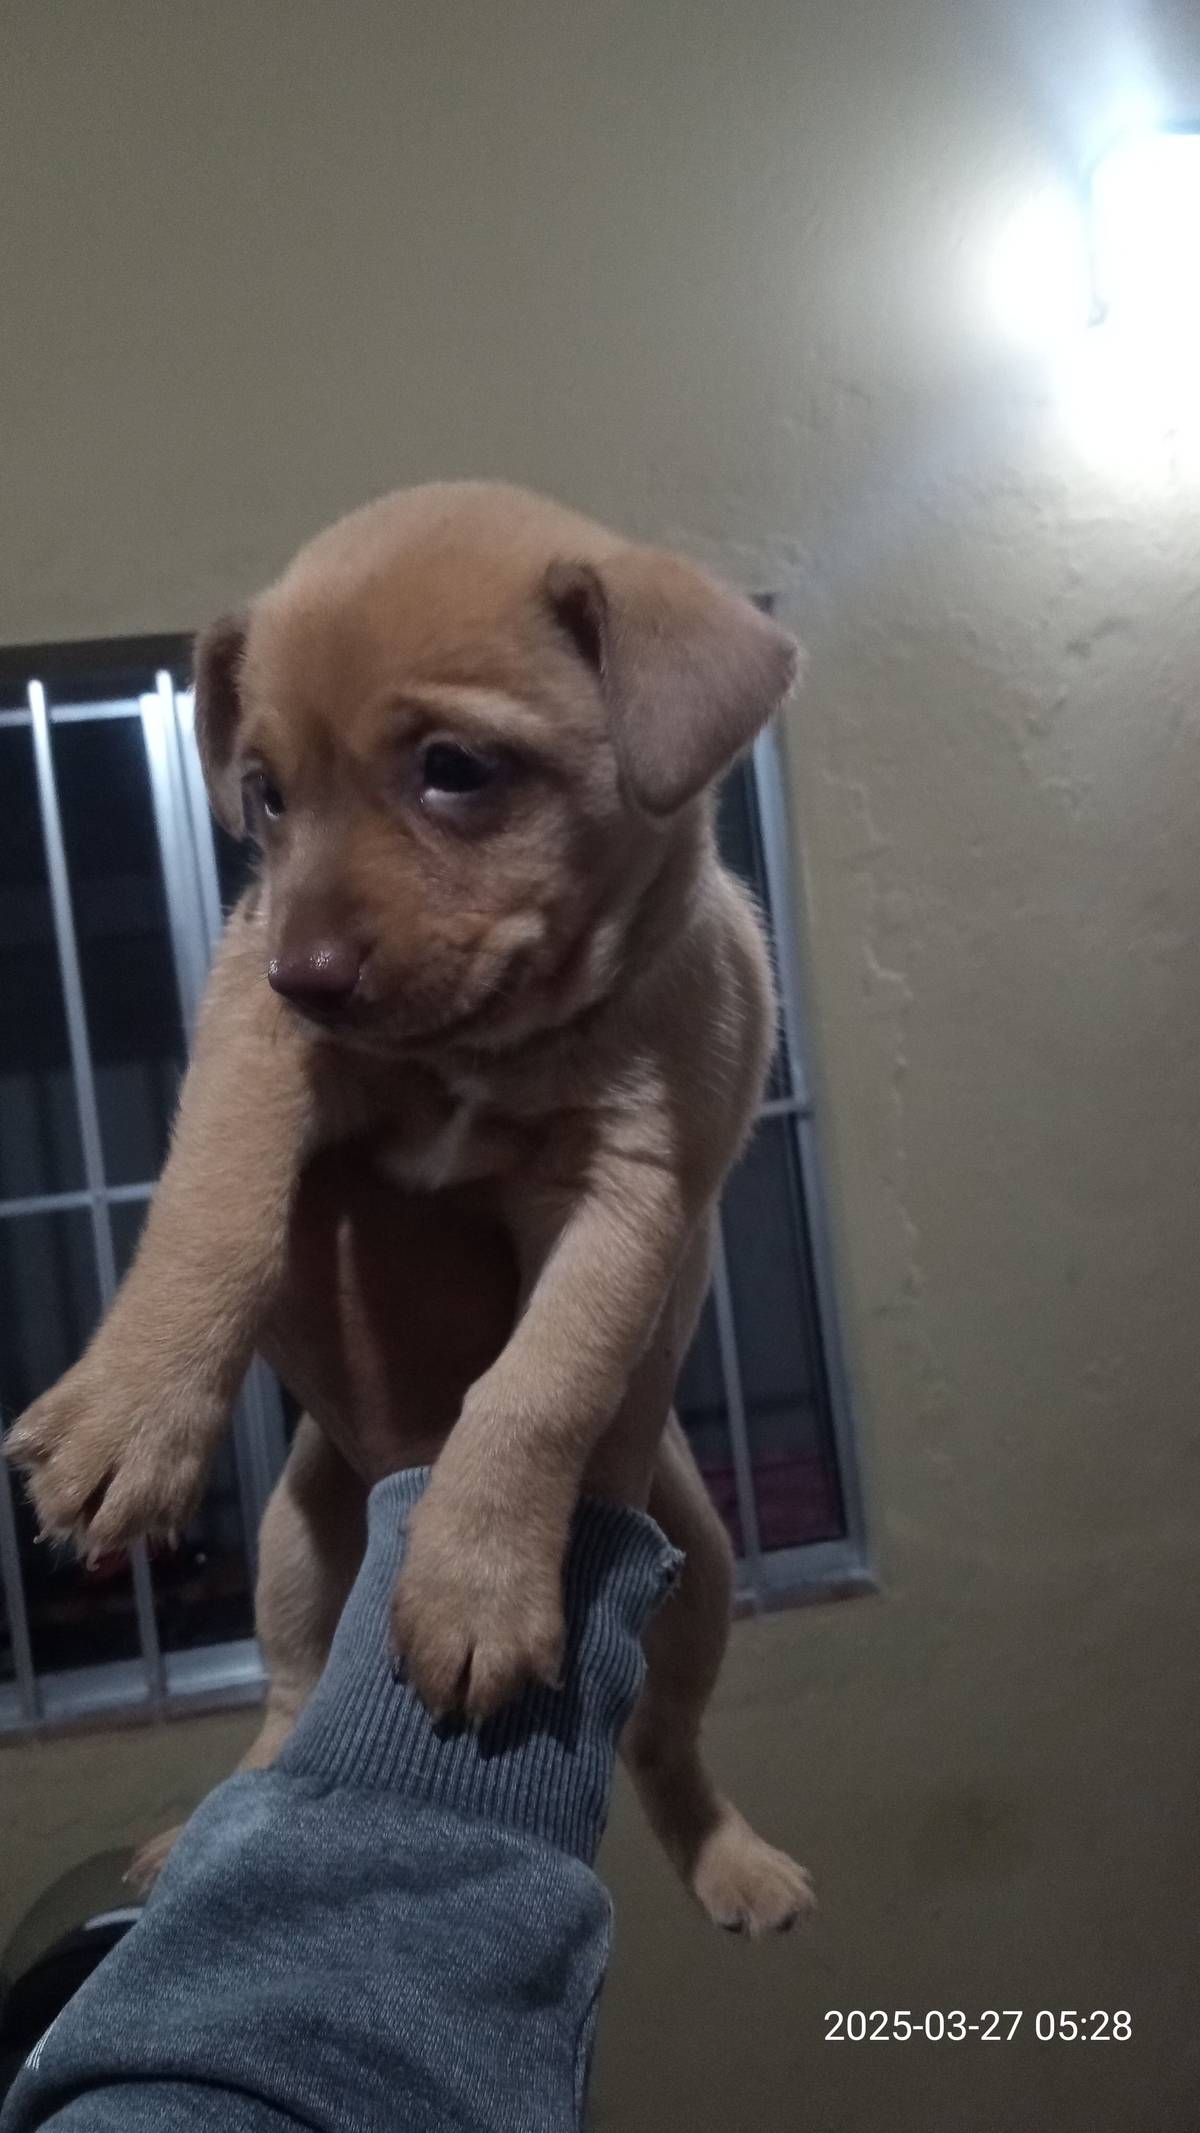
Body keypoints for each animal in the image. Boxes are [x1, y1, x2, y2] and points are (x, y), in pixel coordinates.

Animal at [8, 481, 814, 1933]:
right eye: (265, 797)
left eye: (456, 768)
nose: (304, 971)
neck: (485, 1055)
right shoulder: (255, 1057)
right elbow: (210, 1214)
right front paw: (130, 1415)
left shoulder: (631, 1201)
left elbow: (537, 1385)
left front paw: (475, 1577)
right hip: (292, 1549)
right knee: (286, 1704)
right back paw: (203, 1828)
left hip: (703, 1564)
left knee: (662, 1736)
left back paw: (732, 1860)